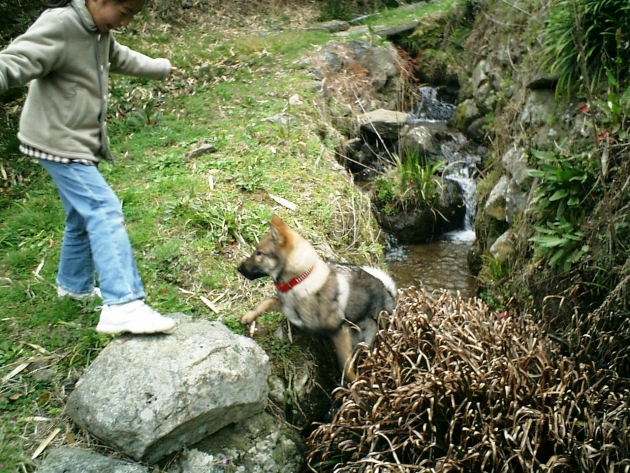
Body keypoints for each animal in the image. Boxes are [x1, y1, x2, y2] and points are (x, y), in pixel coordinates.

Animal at [239, 214, 398, 380]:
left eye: (259, 253)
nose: (238, 268)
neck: (300, 280)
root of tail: (388, 291)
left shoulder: (339, 331)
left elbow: (345, 366)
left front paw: (355, 383)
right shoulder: (286, 308)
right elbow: (267, 302)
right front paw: (249, 316)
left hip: (367, 336)